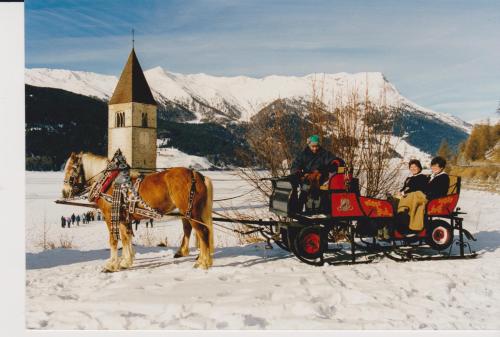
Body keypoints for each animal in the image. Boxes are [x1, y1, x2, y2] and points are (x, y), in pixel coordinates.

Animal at [61, 151, 214, 272]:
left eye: (71, 169)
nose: (64, 192)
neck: (107, 183)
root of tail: (196, 174)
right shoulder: (123, 218)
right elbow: (126, 238)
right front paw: (126, 261)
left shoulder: (110, 216)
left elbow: (113, 240)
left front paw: (112, 265)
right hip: (191, 212)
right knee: (196, 230)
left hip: (191, 212)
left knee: (202, 232)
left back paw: (203, 262)